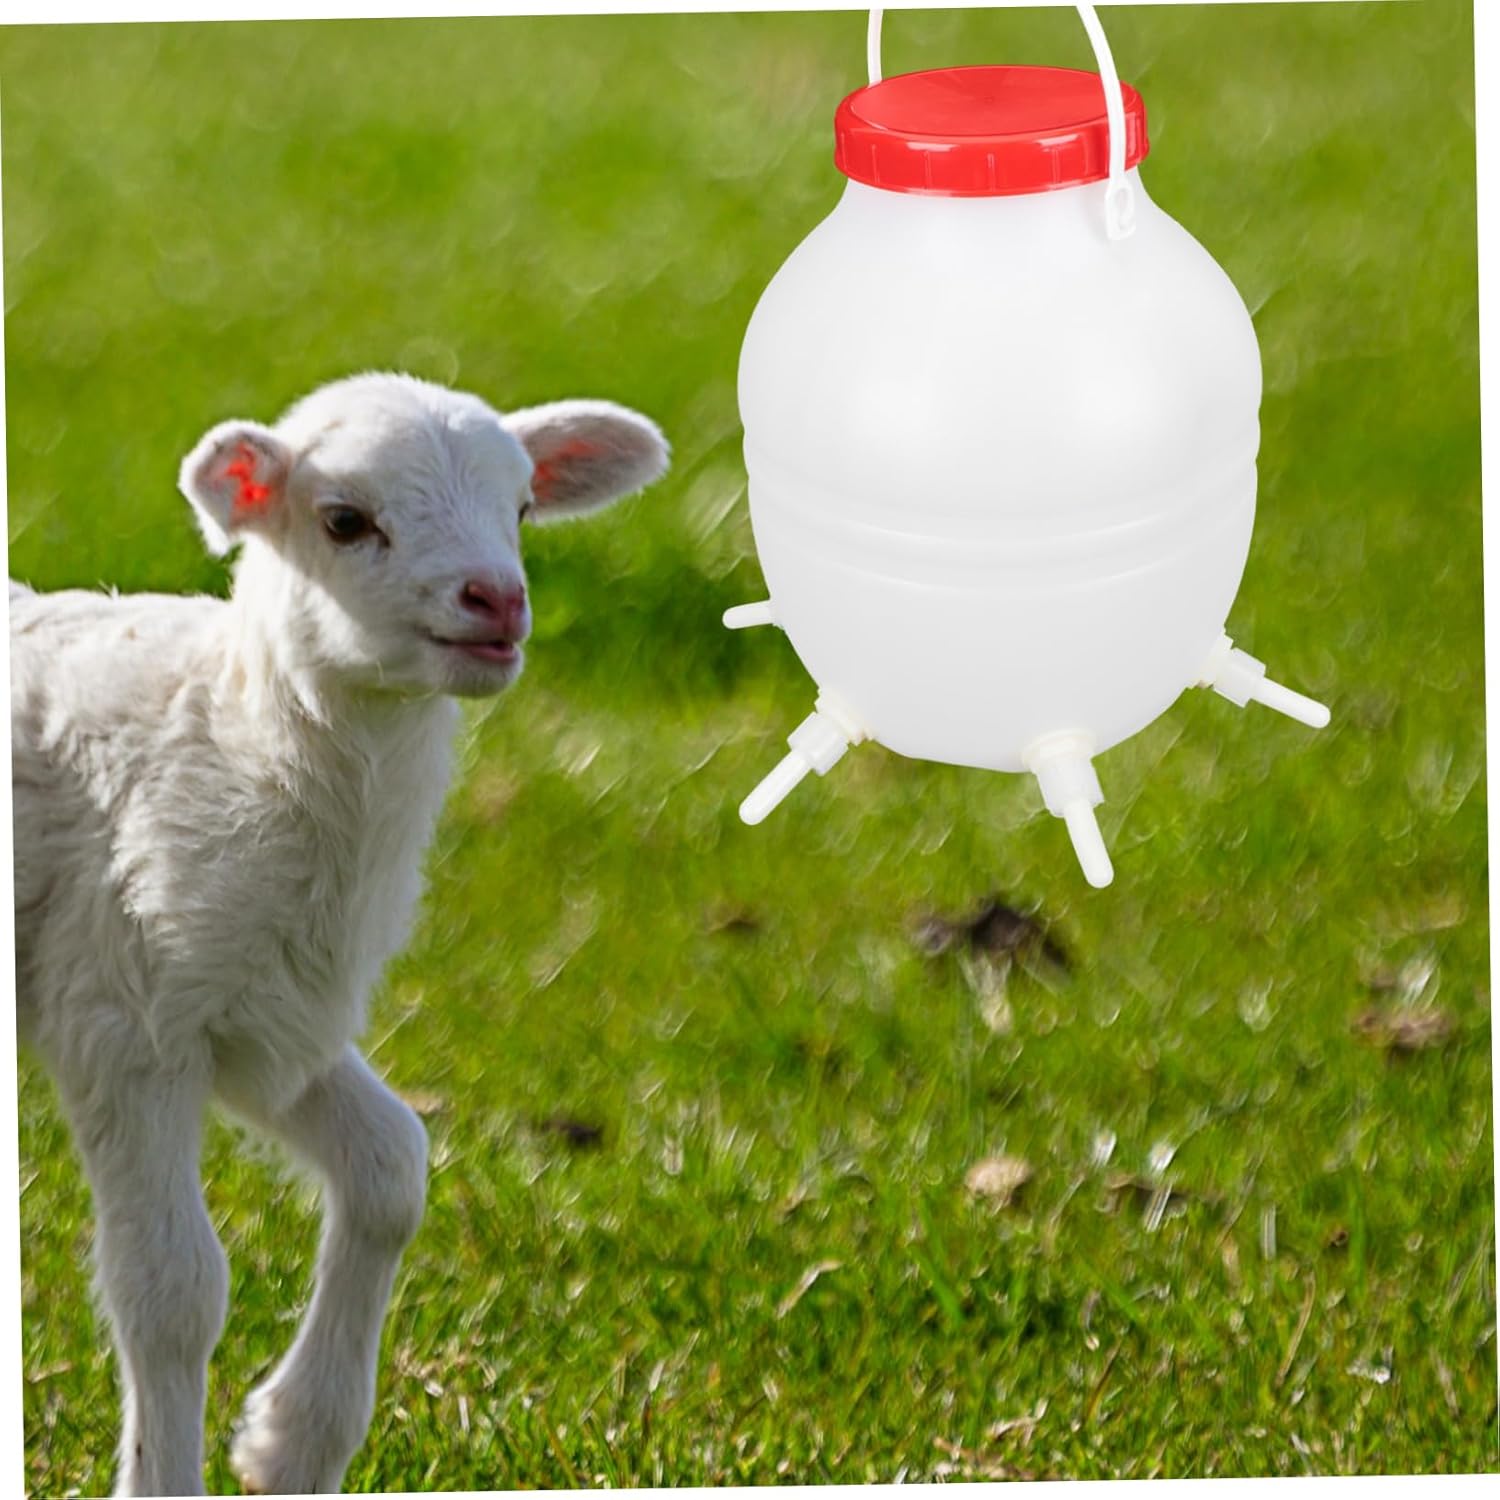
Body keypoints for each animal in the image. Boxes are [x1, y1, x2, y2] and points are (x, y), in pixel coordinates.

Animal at [10, 371, 670, 1496]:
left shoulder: (267, 1012)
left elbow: (392, 1170)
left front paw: (292, 1444)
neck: (231, 732)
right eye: (345, 521)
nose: (497, 602)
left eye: (524, 508)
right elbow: (171, 1289)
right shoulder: (123, 1011)